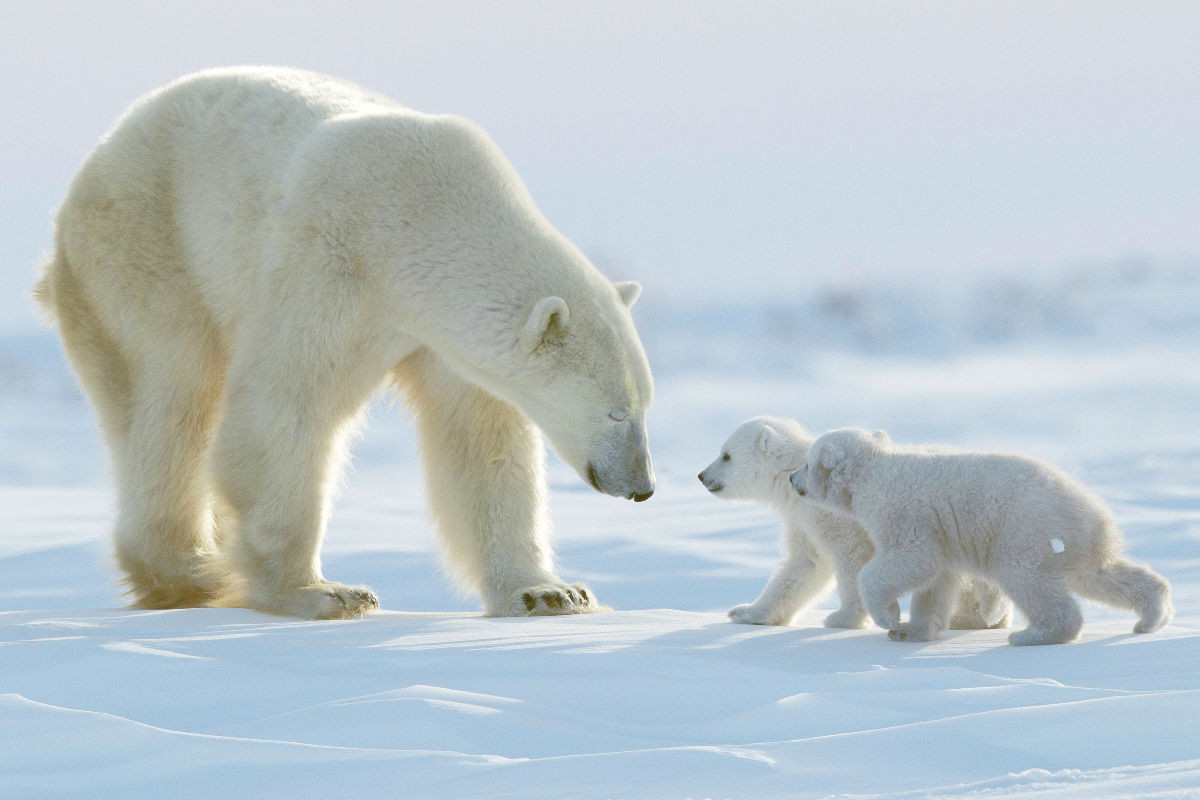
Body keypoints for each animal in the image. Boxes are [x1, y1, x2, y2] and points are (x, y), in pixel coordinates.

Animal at [35, 67, 657, 618]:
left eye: (644, 406)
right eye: (615, 412)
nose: (643, 488)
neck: (420, 217)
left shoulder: (440, 338)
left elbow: (481, 442)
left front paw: (551, 593)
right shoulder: (330, 261)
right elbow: (285, 405)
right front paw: (322, 593)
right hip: (144, 247)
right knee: (175, 392)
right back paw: (193, 573)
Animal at [696, 419, 1012, 633]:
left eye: (726, 455)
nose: (701, 475)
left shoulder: (835, 516)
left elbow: (851, 558)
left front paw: (842, 618)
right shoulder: (803, 520)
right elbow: (805, 564)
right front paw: (746, 612)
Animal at [787, 431, 1171, 642]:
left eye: (806, 462)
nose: (791, 478)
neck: (873, 471)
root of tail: (1097, 514)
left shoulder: (901, 510)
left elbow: (909, 559)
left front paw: (890, 617)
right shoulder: (939, 532)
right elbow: (937, 580)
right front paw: (911, 630)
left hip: (1028, 530)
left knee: (1026, 578)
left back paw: (1034, 634)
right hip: (1072, 540)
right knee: (1100, 575)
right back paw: (1151, 616)